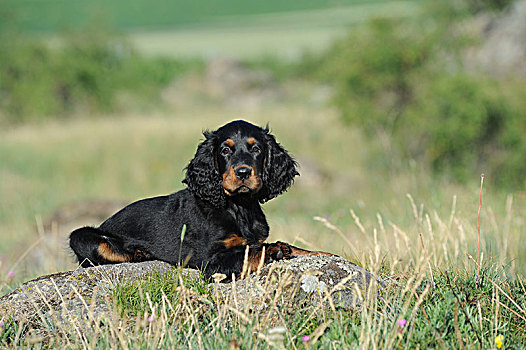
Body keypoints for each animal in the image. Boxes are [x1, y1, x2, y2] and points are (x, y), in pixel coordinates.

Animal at [70, 120, 334, 278]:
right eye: (225, 150)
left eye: (256, 149)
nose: (243, 172)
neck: (238, 207)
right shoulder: (210, 260)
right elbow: (249, 252)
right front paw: (273, 250)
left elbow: (296, 248)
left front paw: (324, 254)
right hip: (80, 236)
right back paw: (138, 252)